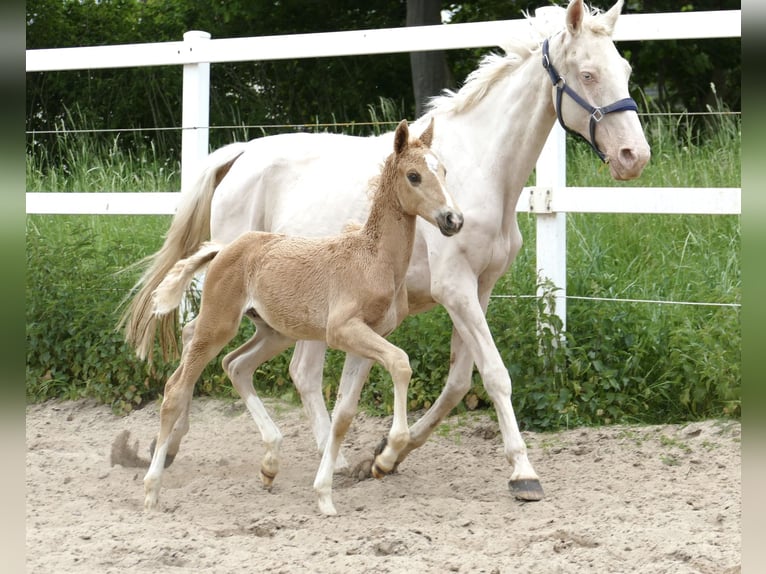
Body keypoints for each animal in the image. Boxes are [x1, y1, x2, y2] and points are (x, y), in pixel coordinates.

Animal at [144, 119, 468, 516]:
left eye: (444, 171)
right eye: (414, 176)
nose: (453, 219)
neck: (373, 258)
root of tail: (224, 248)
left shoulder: (367, 337)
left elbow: (344, 415)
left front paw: (325, 494)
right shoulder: (343, 330)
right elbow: (401, 363)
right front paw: (388, 454)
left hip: (274, 332)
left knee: (236, 365)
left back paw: (270, 463)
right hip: (218, 323)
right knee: (176, 388)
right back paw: (152, 489)